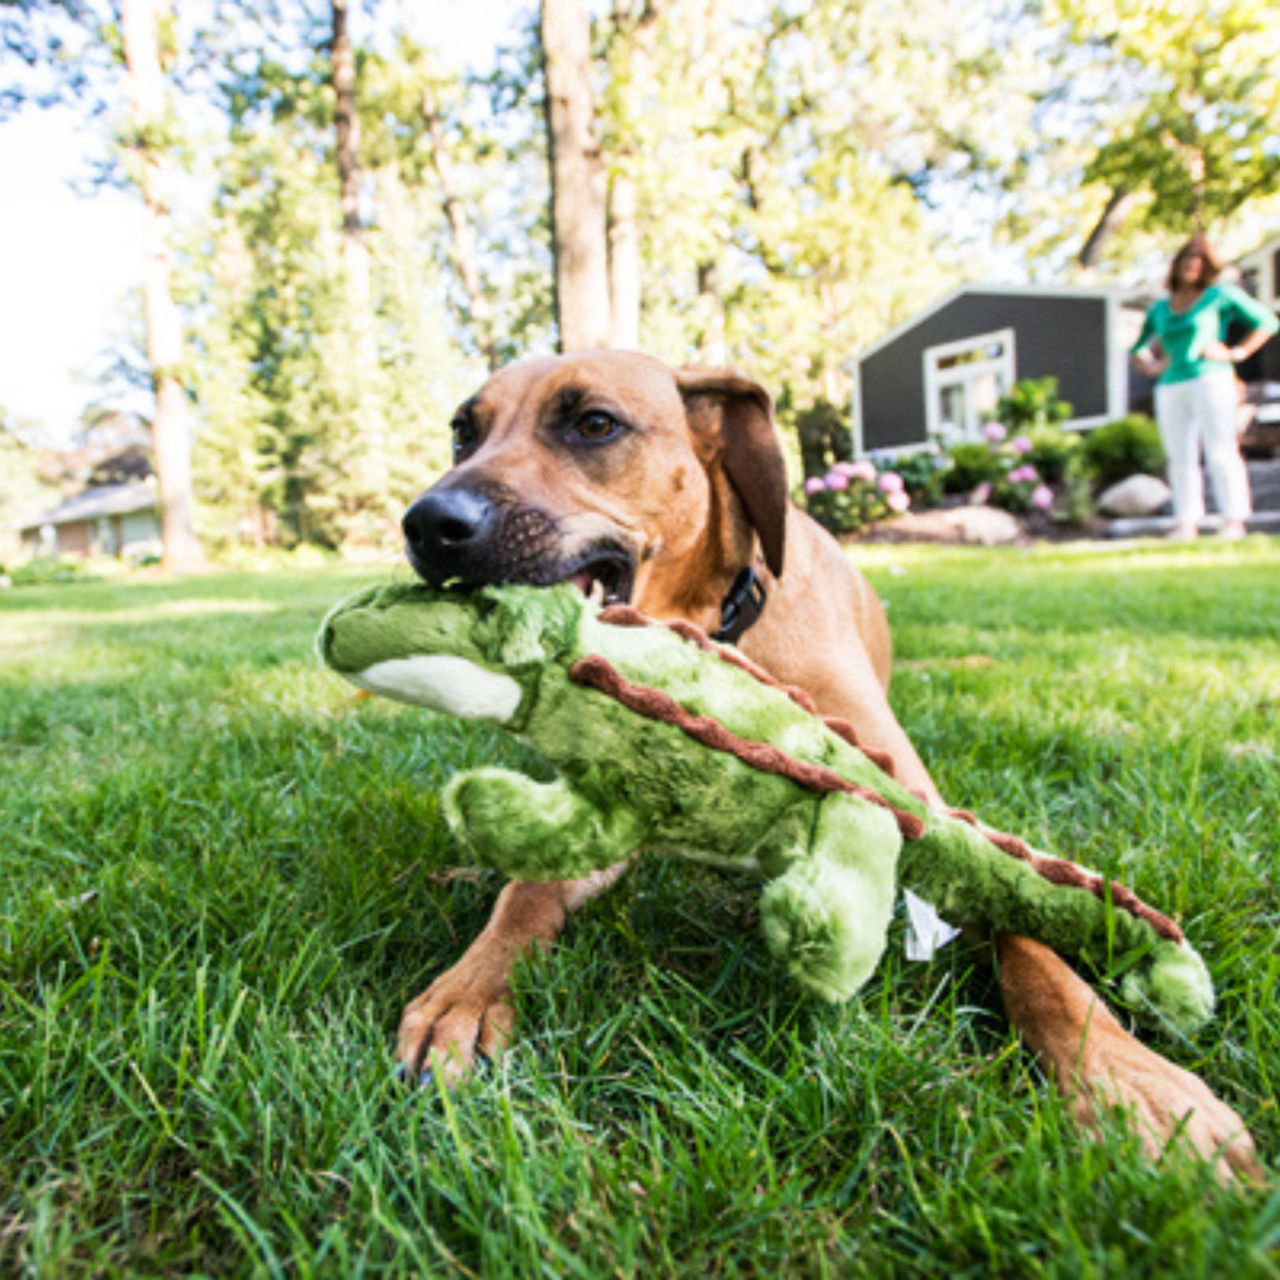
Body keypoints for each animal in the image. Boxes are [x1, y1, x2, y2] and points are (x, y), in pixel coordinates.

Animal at [396, 348, 1259, 1177]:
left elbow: (1030, 940)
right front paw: (466, 991)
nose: (428, 523)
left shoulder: (921, 808)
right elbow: (527, 896)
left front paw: (1125, 1077)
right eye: (463, 433)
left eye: (594, 424)